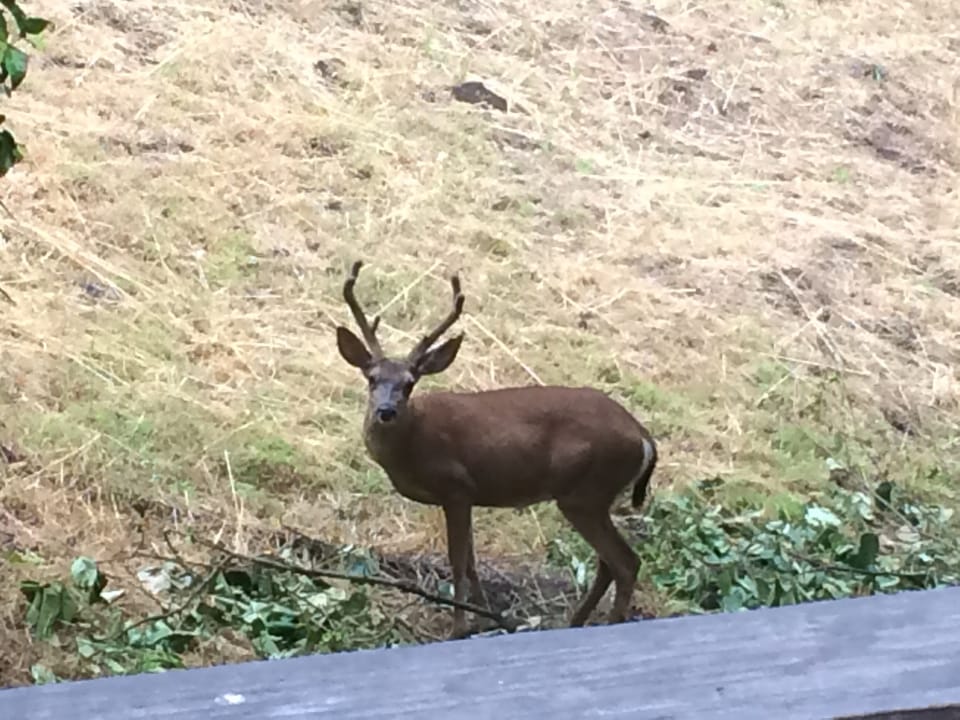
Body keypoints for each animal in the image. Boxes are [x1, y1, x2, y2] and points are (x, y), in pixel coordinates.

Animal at [334, 260, 658, 639]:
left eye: (410, 384)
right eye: (372, 379)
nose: (386, 411)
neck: (414, 443)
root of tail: (643, 436)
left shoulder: (456, 487)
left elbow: (458, 561)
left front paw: (459, 627)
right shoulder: (469, 495)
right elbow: (472, 563)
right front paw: (483, 615)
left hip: (586, 492)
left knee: (626, 562)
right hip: (592, 497)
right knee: (609, 563)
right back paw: (575, 622)